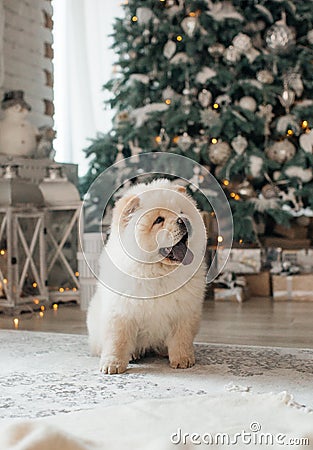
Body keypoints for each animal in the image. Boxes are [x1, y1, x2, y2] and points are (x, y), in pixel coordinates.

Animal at [86, 179, 206, 372]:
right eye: (158, 220)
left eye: (182, 212)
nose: (184, 220)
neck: (156, 271)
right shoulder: (121, 311)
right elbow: (117, 341)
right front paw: (112, 365)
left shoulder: (184, 311)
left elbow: (181, 338)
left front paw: (182, 360)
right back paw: (133, 354)